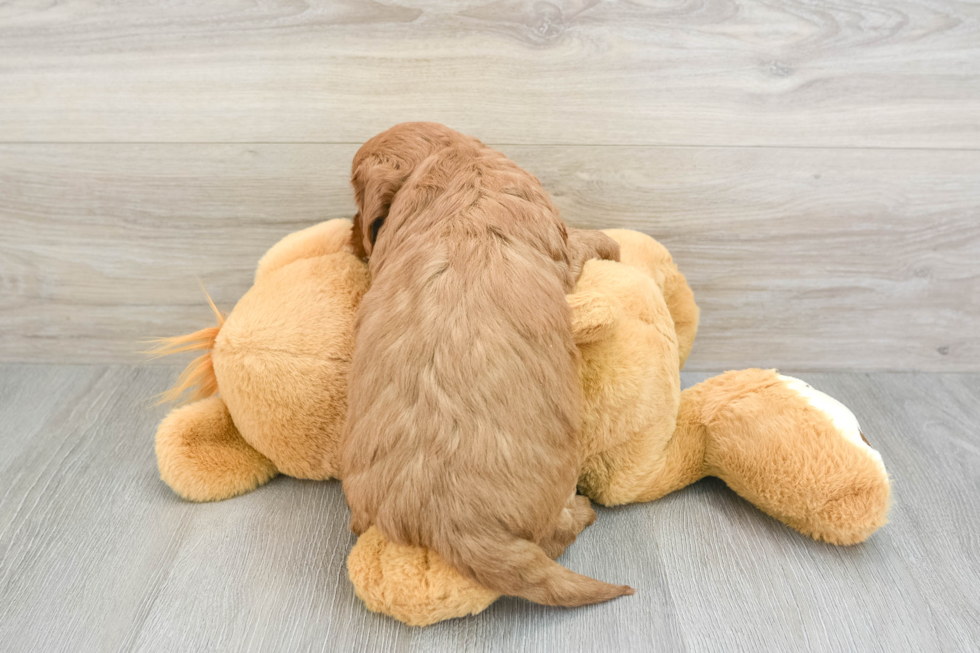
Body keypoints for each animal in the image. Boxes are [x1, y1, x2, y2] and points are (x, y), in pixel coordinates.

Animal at [340, 122, 632, 608]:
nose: (347, 236)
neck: (455, 162)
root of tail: (456, 526)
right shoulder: (560, 244)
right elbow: (582, 241)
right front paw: (611, 245)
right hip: (555, 491)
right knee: (554, 535)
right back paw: (582, 511)